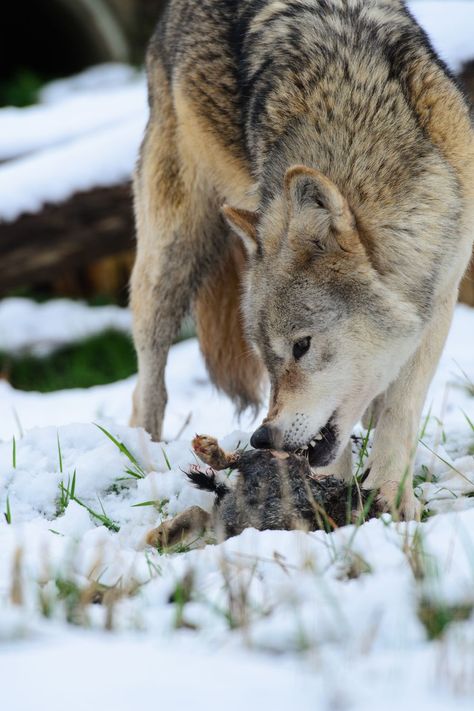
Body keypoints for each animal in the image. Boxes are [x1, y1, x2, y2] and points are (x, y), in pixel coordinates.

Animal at [131, 2, 474, 520]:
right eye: (268, 358)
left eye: (301, 347)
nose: (262, 437)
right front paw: (333, 498)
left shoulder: (440, 294)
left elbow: (401, 408)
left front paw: (391, 499)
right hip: (170, 261)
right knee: (146, 382)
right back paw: (145, 463)